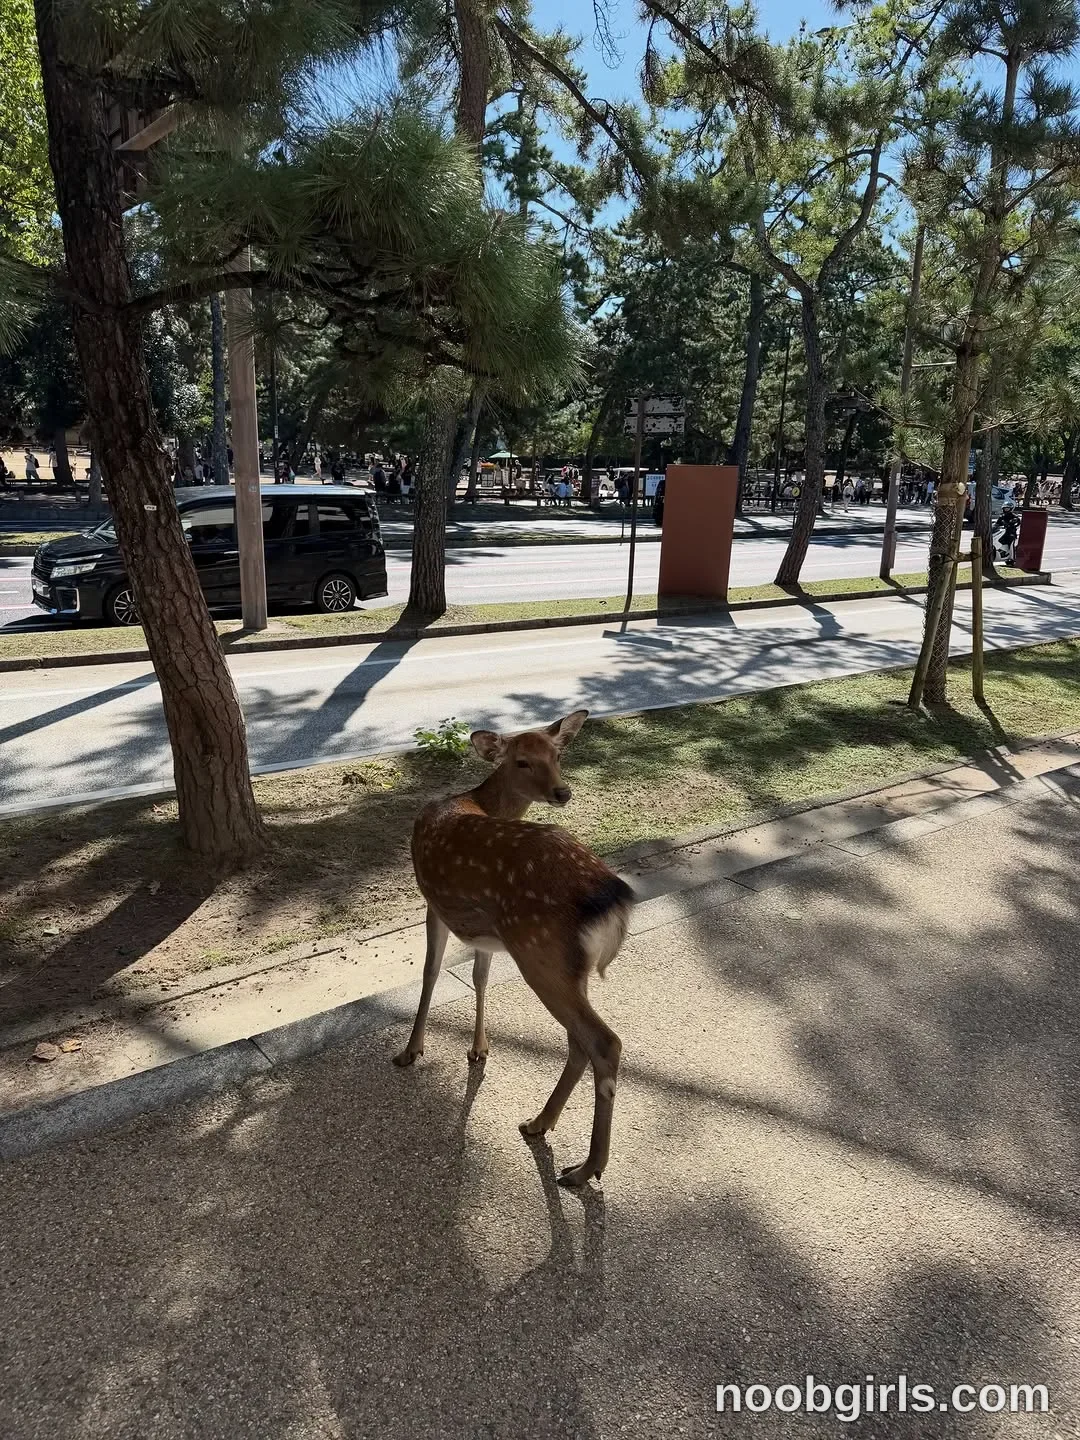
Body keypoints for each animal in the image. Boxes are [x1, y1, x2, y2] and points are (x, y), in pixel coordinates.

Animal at [393, 709, 635, 1188]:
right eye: (523, 761)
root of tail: (612, 900)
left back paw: (586, 1168)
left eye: (558, 756)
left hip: (537, 952)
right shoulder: (486, 933)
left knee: (603, 1042)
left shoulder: (431, 902)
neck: (475, 800)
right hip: (566, 966)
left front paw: (412, 1050)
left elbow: (430, 971)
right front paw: (478, 1049)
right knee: (579, 1041)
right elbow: (478, 976)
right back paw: (539, 1123)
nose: (563, 791)